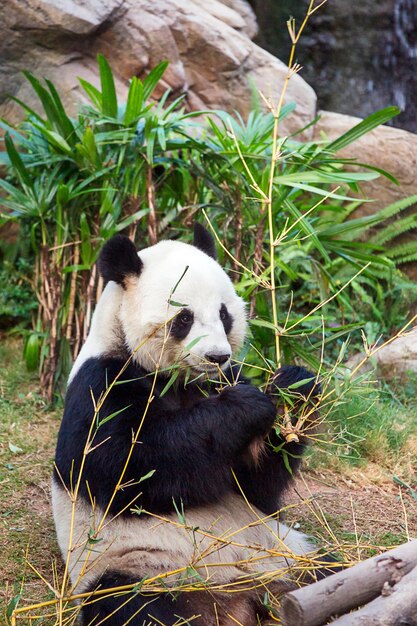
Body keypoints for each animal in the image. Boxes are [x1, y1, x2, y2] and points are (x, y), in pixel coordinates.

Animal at [52, 224, 322, 624]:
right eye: (184, 319)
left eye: (224, 314)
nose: (217, 357)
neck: (180, 382)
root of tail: (243, 599)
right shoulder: (101, 383)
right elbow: (127, 466)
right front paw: (247, 407)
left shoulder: (223, 379)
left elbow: (256, 489)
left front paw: (295, 389)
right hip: (146, 568)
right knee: (132, 606)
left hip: (286, 554)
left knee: (327, 569)